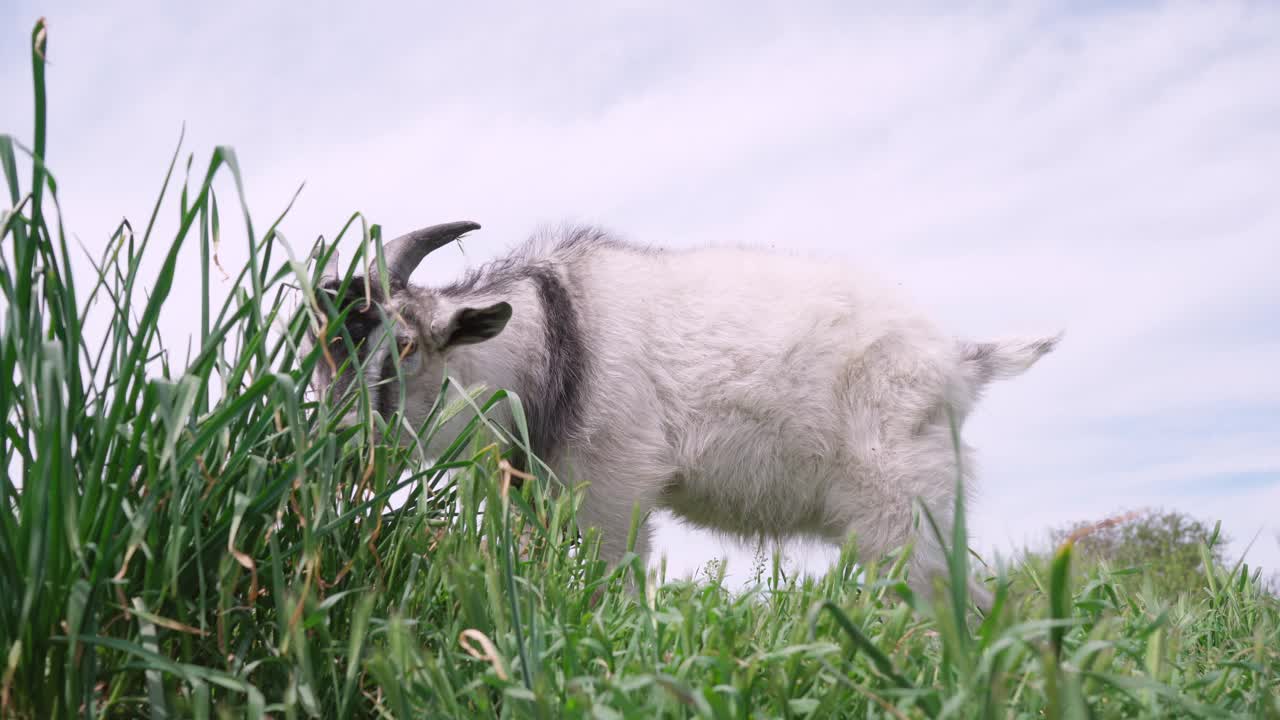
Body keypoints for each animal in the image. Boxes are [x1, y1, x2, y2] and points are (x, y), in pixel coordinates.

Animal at [302, 220, 1059, 599]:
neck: (555, 337)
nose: (333, 445)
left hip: (904, 508)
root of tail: (960, 358)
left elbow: (613, 591)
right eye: (317, 352)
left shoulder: (614, 494)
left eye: (404, 345)